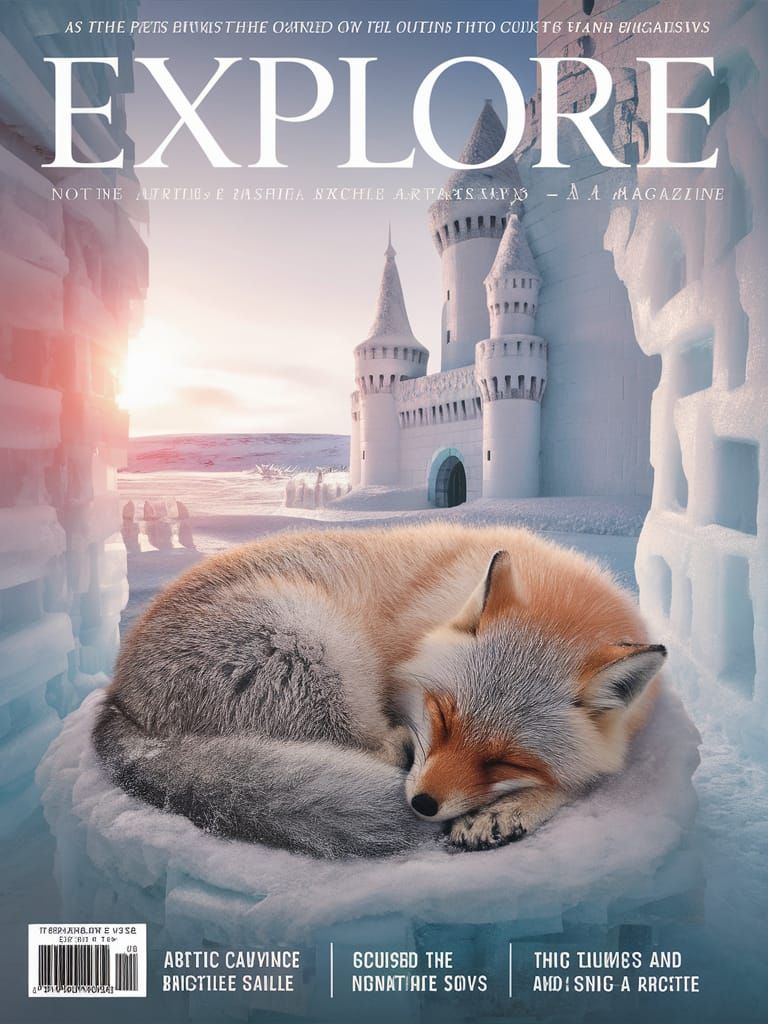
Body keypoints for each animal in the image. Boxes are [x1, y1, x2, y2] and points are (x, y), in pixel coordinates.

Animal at [93, 523, 666, 858]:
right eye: (441, 716)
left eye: (505, 761)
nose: (423, 804)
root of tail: (116, 702)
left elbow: (581, 778)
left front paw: (509, 810)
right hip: (315, 644)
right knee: (369, 746)